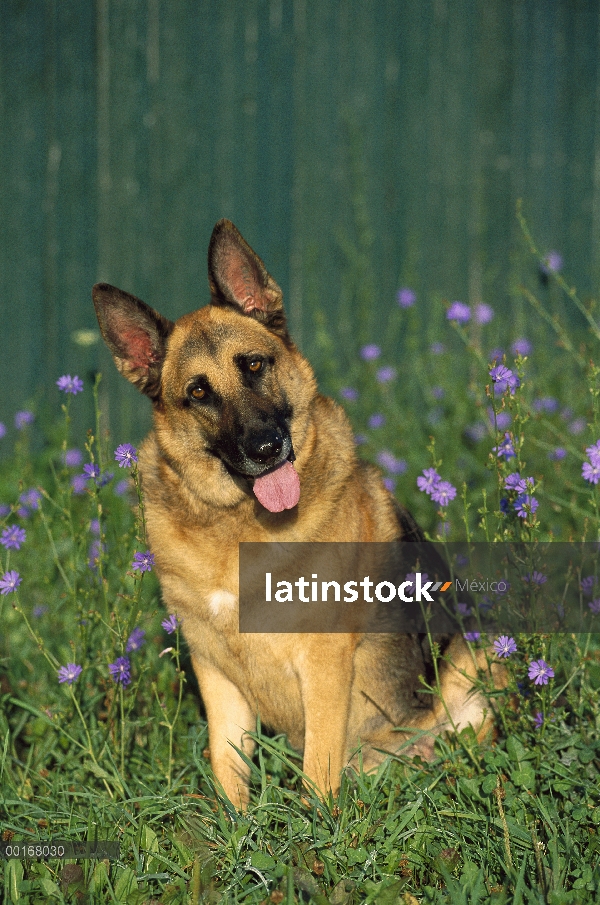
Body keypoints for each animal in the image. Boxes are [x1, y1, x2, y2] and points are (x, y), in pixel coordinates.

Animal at [94, 219, 494, 804]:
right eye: (198, 393)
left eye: (255, 364)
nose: (266, 448)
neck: (235, 524)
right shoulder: (216, 674)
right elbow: (227, 769)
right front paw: (234, 827)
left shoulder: (323, 665)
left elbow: (318, 770)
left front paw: (313, 827)